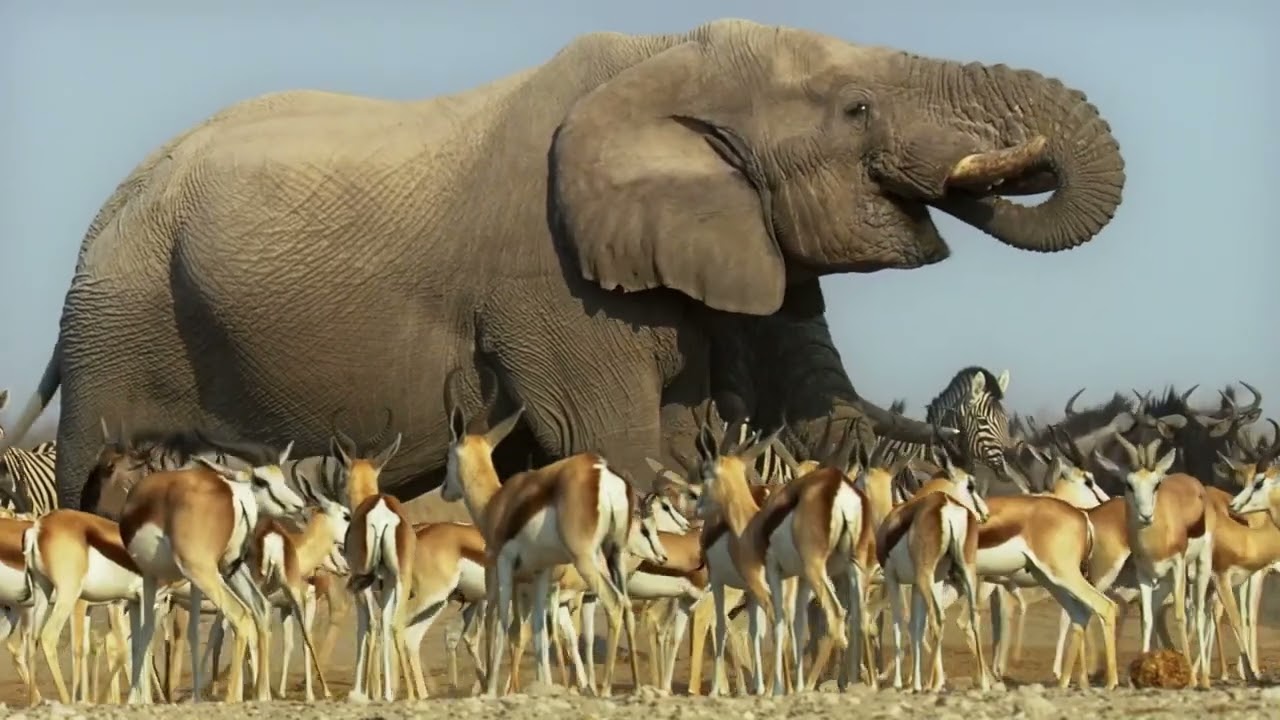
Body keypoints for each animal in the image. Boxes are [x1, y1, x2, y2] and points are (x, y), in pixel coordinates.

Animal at [0, 19, 1126, 510]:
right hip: (114, 321)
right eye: (854, 110)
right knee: (93, 477)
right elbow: (612, 445)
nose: (978, 401)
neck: (664, 60)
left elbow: (802, 414)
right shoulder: (554, 282)